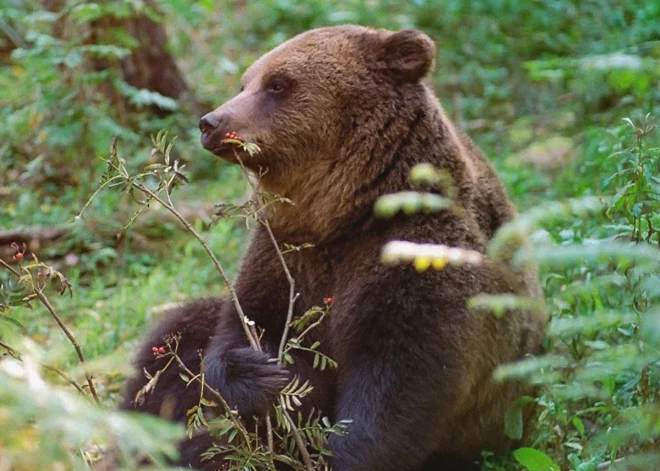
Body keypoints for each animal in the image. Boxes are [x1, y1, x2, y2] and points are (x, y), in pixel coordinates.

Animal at [122, 25, 548, 471]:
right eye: (245, 82)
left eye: (278, 83)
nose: (211, 122)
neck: (349, 212)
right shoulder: (286, 251)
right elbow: (242, 331)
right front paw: (257, 372)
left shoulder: (421, 257)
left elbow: (400, 384)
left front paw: (343, 452)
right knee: (175, 340)